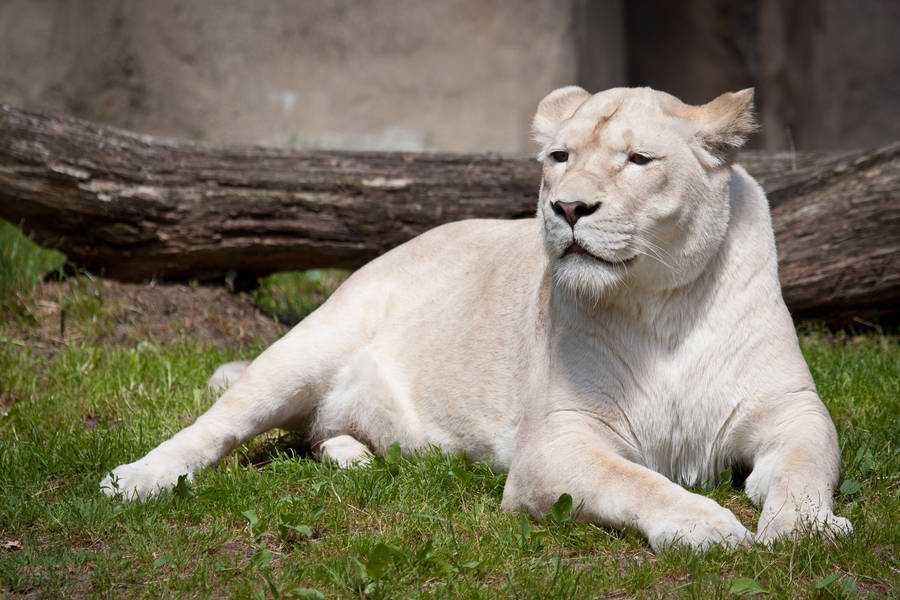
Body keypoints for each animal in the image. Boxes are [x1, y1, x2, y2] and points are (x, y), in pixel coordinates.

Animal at [101, 86, 852, 551]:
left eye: (639, 160)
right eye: (559, 158)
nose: (567, 207)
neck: (660, 304)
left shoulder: (791, 408)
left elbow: (808, 462)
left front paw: (806, 528)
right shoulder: (555, 445)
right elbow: (638, 481)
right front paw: (709, 526)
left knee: (314, 432)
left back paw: (355, 454)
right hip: (304, 350)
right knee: (214, 427)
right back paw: (134, 480)